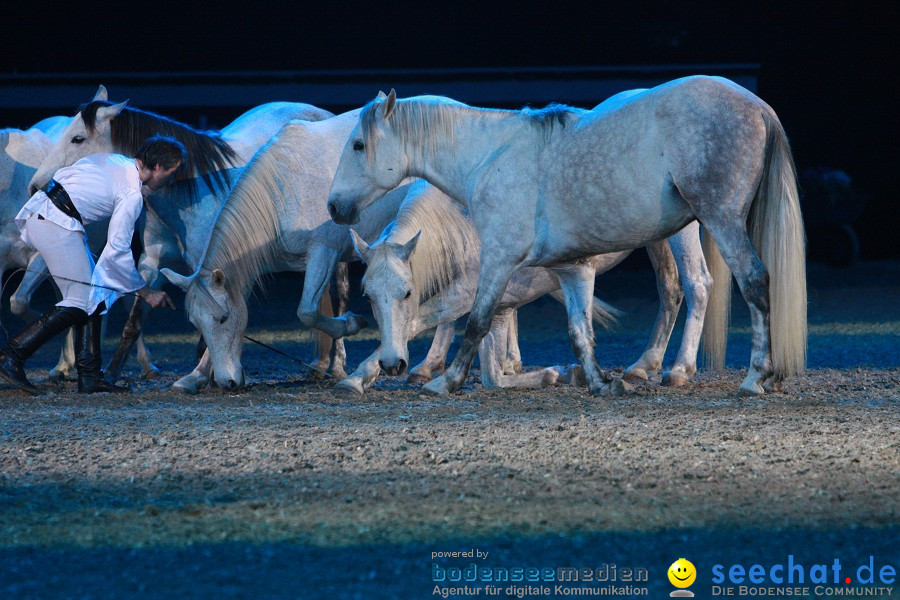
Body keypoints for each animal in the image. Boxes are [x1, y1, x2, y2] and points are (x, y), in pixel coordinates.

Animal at [27, 86, 344, 382]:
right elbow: (135, 319)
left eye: (77, 138)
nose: (36, 185)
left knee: (338, 295)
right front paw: (114, 371)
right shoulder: (151, 263)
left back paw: (337, 365)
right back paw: (318, 364)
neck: (189, 191)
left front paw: (205, 372)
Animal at [161, 111, 408, 394]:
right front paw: (197, 375)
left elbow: (307, 312)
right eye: (196, 323)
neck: (280, 193)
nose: (228, 382)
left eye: (223, 319)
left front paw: (350, 323)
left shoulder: (324, 253)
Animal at [326, 77, 804, 396]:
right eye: (368, 295)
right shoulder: (571, 268)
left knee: (742, 282)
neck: (488, 156)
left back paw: (748, 375)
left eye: (358, 146)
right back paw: (647, 367)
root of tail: (755, 104)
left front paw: (445, 381)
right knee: (676, 289)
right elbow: (579, 330)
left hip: (717, 220)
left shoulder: (497, 262)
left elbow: (473, 320)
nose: (333, 207)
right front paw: (598, 383)